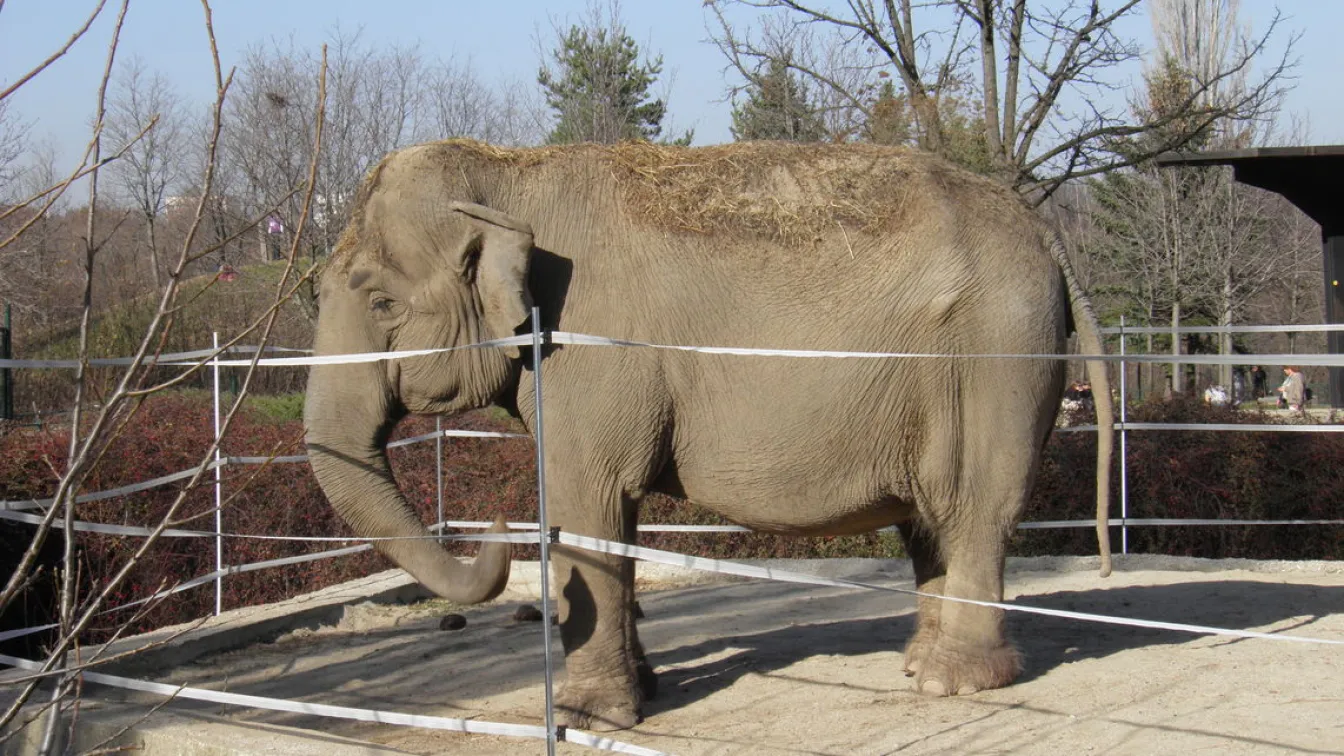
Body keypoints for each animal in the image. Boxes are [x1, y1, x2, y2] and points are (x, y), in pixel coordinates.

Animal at [303, 140, 1114, 731]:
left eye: (382, 304)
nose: (494, 532)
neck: (509, 172)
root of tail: (1047, 232)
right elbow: (615, 518)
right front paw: (643, 692)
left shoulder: (585, 351)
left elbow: (586, 505)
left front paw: (584, 717)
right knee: (931, 517)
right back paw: (918, 664)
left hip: (998, 357)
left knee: (978, 507)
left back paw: (952, 684)